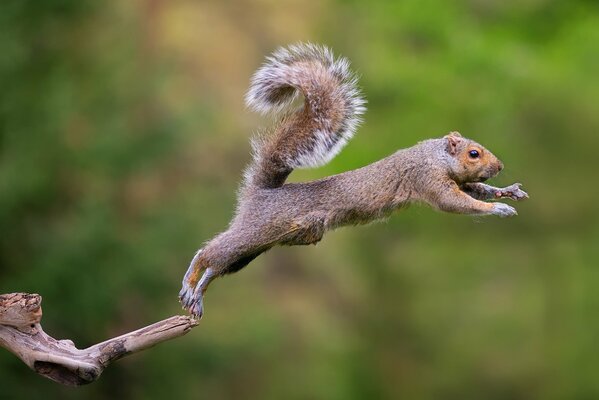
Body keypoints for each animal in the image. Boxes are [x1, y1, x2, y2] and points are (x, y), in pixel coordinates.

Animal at [178, 43, 528, 318]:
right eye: (473, 153)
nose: (500, 165)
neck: (436, 156)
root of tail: (261, 192)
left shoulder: (454, 179)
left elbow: (475, 189)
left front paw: (506, 191)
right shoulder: (427, 178)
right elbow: (457, 202)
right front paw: (497, 210)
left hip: (258, 246)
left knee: (220, 265)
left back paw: (199, 290)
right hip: (257, 230)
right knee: (211, 252)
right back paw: (191, 279)